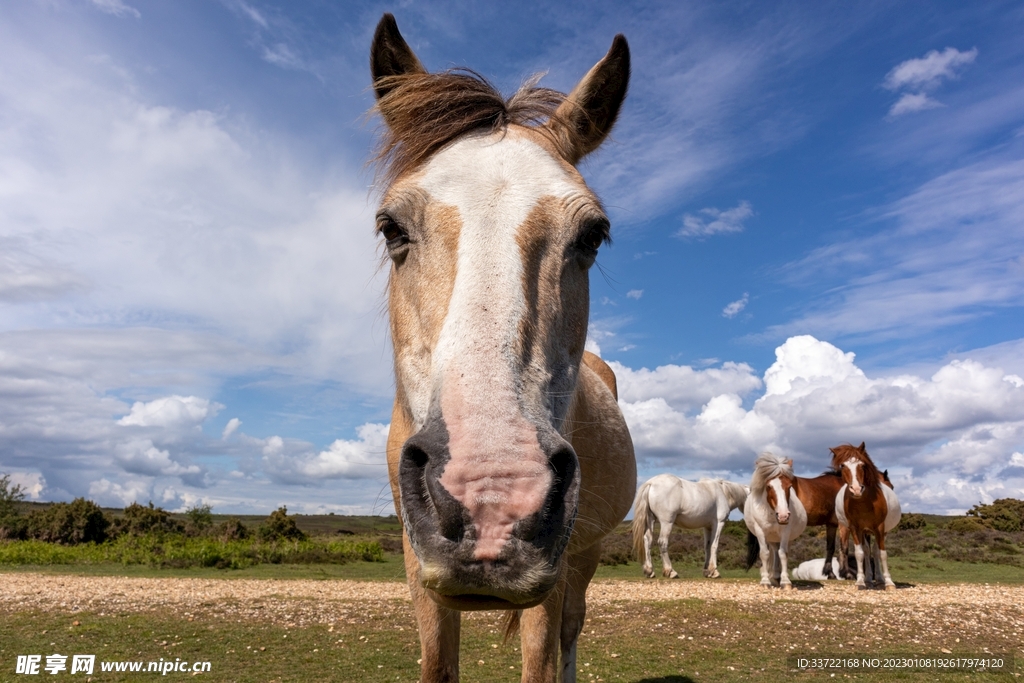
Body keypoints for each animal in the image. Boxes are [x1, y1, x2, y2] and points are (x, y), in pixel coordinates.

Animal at [370, 14, 637, 683]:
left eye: (593, 235)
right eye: (391, 228)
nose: (492, 496)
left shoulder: (559, 565)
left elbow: (544, 655)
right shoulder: (417, 562)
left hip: (586, 555)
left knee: (571, 632)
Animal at [743, 453, 808, 589]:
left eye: (789, 486)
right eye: (768, 486)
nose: (783, 516)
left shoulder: (785, 532)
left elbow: (783, 553)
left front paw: (785, 582)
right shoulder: (760, 531)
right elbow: (764, 554)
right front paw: (765, 581)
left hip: (786, 538)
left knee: (779, 552)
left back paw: (778, 577)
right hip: (771, 538)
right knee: (773, 551)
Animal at [831, 443, 901, 590]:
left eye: (862, 464)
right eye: (843, 465)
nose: (857, 489)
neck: (863, 501)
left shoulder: (880, 528)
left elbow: (882, 554)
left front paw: (889, 582)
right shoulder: (855, 528)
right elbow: (860, 553)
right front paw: (860, 581)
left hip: (879, 531)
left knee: (875, 551)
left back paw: (879, 580)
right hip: (864, 531)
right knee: (868, 552)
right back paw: (868, 579)